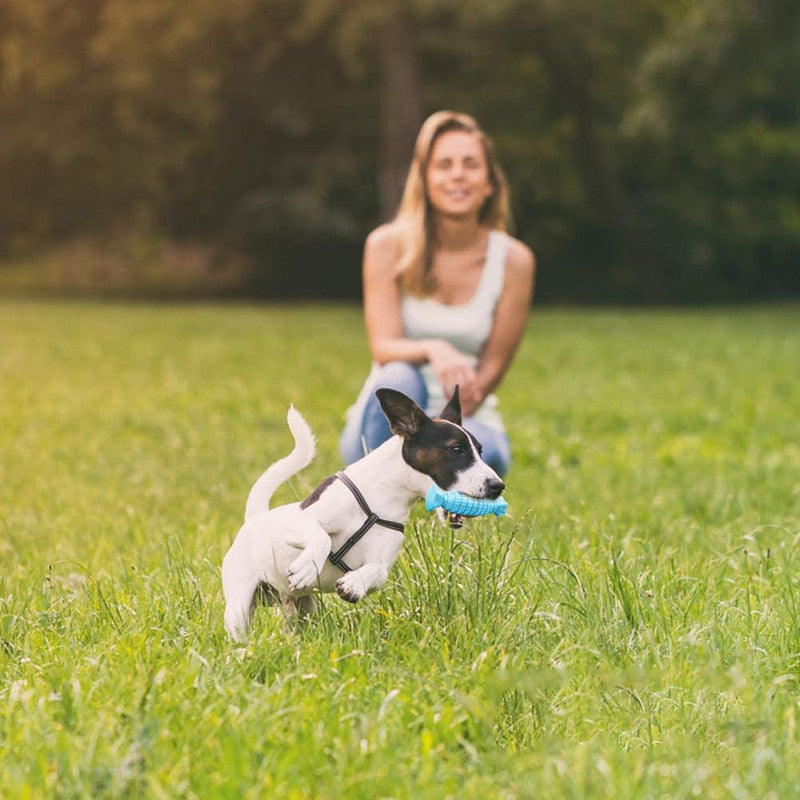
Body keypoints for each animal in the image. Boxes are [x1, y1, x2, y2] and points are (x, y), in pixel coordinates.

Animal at [222, 384, 504, 640]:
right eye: (456, 449)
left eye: (480, 451)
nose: (497, 486)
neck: (379, 500)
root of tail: (255, 518)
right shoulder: (300, 522)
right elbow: (322, 538)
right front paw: (306, 567)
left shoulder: (381, 562)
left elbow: (375, 572)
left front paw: (353, 584)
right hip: (240, 603)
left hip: (302, 609)